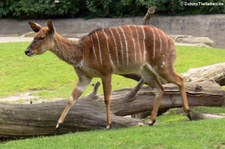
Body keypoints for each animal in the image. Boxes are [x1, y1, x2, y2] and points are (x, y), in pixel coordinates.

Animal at [25, 20, 192, 130]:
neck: (81, 52)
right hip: (145, 70)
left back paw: (188, 114)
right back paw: (151, 121)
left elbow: (106, 99)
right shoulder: (84, 78)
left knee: (180, 79)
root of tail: (170, 39)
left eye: (41, 37)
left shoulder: (106, 73)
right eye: (34, 36)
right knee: (159, 88)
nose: (27, 51)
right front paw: (58, 124)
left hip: (162, 65)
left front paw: (108, 124)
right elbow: (71, 98)